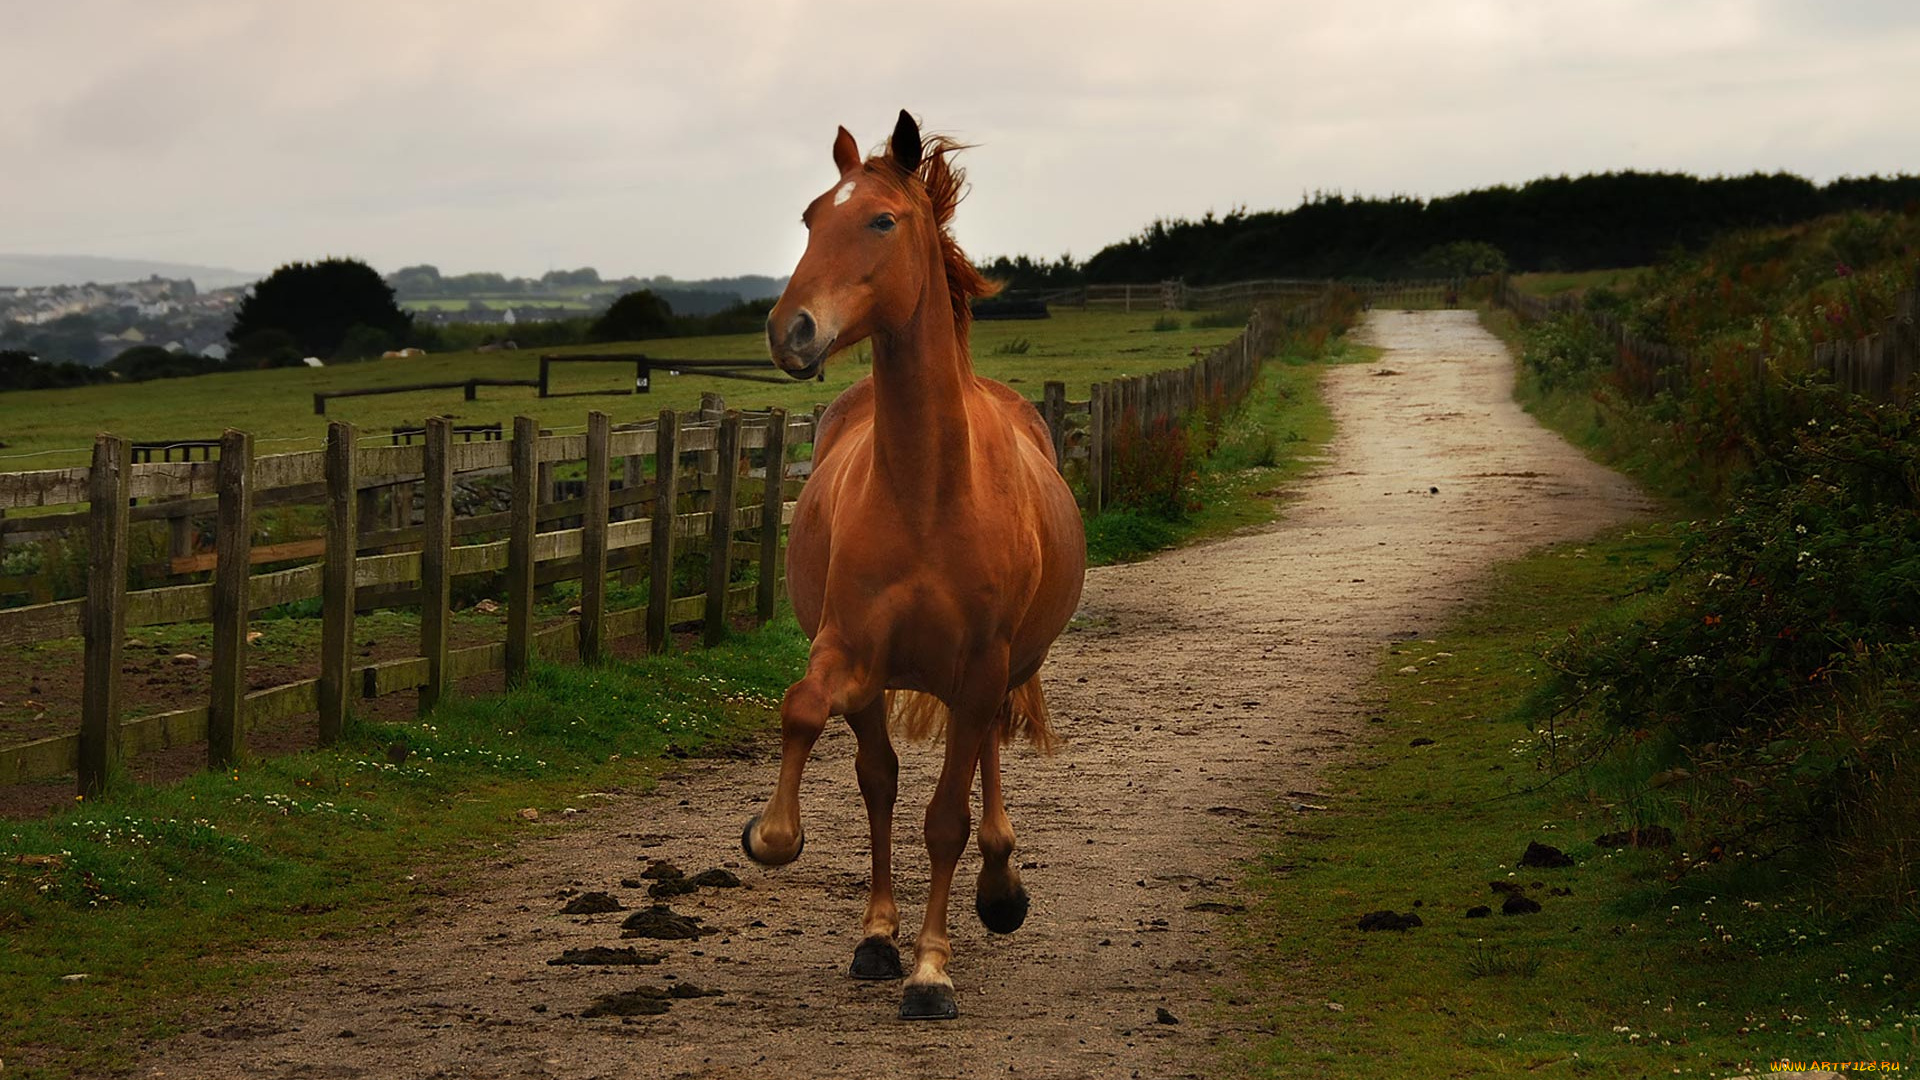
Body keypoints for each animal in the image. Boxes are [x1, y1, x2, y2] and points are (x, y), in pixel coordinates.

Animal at [744, 111, 1090, 1014]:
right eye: (809, 218)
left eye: (881, 221)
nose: (791, 330)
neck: (931, 490)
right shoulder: (849, 649)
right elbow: (811, 716)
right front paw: (775, 836)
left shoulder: (980, 666)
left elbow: (947, 820)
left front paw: (933, 970)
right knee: (881, 779)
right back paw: (877, 935)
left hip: (1005, 670)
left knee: (987, 761)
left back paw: (999, 889)